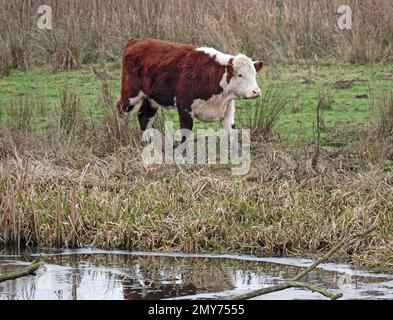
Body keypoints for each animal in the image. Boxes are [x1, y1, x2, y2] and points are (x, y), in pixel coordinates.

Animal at [115, 38, 264, 142]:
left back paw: (147, 140)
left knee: (144, 115)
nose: (256, 91)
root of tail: (136, 41)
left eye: (254, 74)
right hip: (130, 93)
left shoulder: (227, 110)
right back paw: (122, 136)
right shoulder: (185, 107)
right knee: (122, 109)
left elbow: (232, 133)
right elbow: (185, 133)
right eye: (240, 75)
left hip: (150, 97)